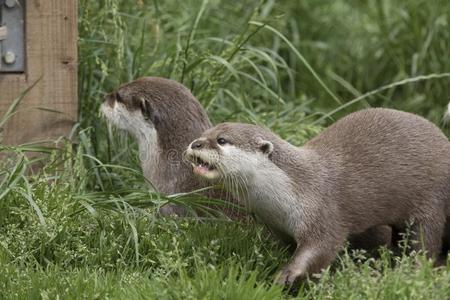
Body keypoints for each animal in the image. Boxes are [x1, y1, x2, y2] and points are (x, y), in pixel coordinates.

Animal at [184, 107, 450, 284]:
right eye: (206, 132)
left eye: (221, 140)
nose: (195, 143)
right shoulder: (278, 227)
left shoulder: (323, 211)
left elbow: (321, 247)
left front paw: (286, 275)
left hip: (430, 203)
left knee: (424, 245)